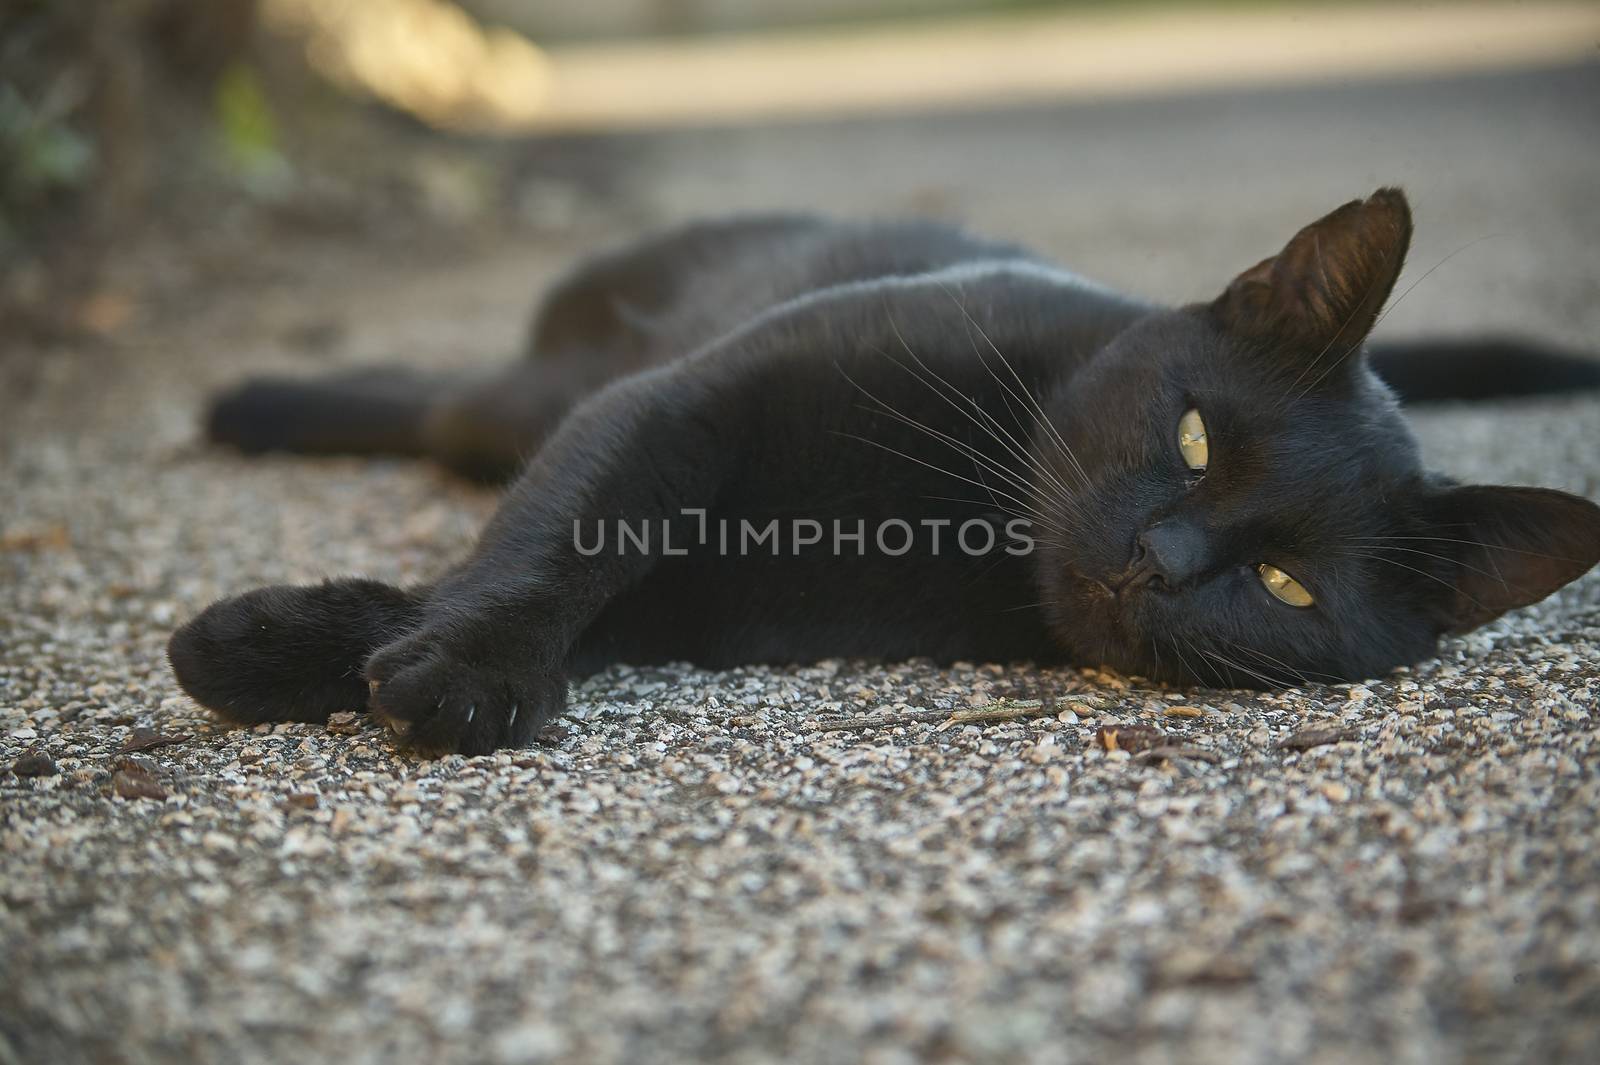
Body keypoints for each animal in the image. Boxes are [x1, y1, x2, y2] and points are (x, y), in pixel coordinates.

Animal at [168, 191, 1600, 754]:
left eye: (1288, 587)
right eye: (1194, 437)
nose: (1160, 561)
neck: (950, 518)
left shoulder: (705, 600)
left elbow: (551, 584)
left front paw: (272, 650)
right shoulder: (673, 409)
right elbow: (565, 539)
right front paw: (416, 665)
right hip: (517, 400)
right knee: (439, 409)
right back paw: (252, 404)